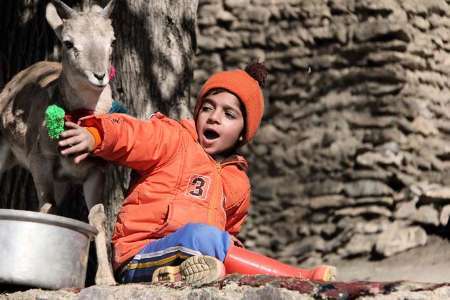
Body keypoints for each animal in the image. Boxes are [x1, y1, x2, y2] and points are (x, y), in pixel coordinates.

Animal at [0, 0, 118, 286]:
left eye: (111, 40)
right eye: (68, 42)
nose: (99, 75)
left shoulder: (95, 172)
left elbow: (96, 216)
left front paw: (106, 279)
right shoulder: (40, 162)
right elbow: (46, 206)